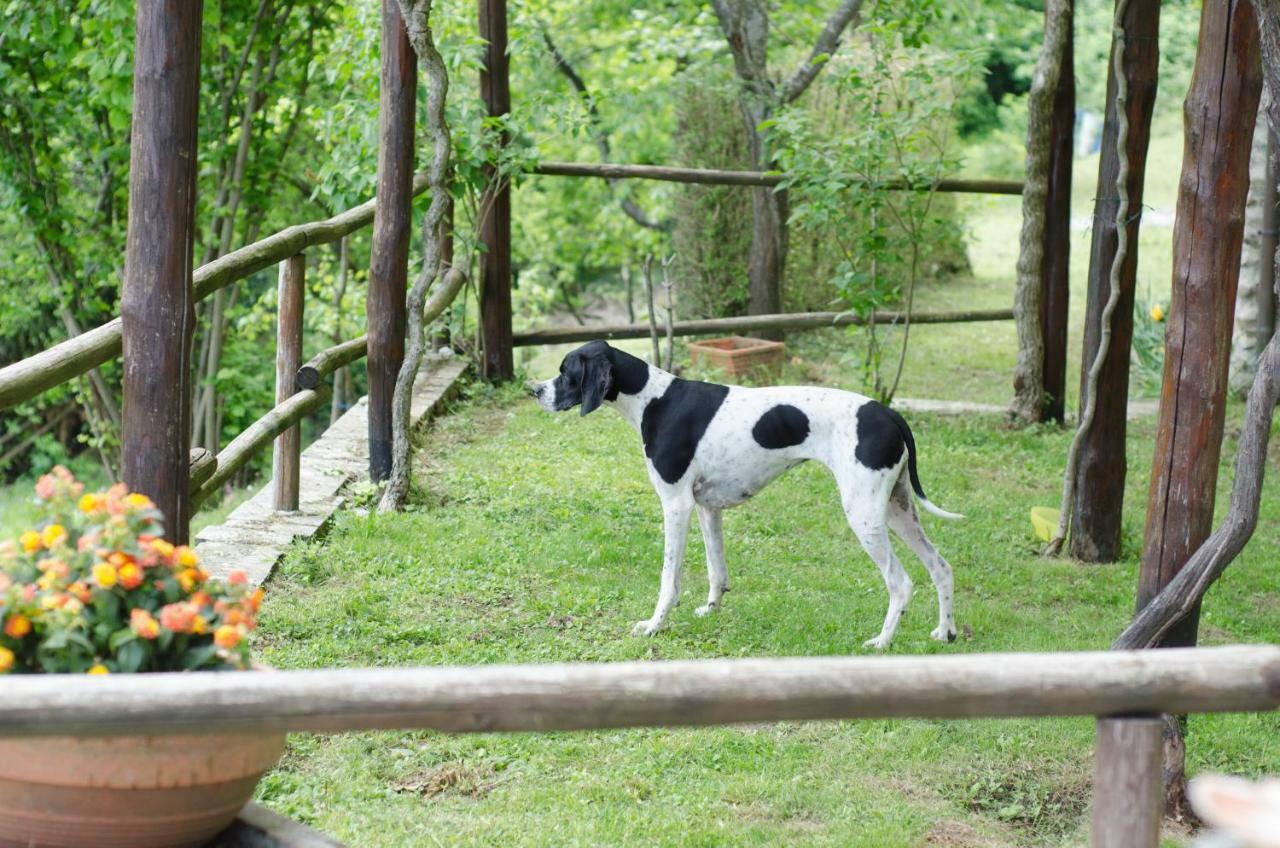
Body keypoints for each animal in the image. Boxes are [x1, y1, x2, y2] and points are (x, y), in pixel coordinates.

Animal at [529, 343, 962, 648]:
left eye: (566, 372)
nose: (533, 390)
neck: (655, 399)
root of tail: (889, 413)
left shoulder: (676, 506)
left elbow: (669, 578)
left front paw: (654, 624)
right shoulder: (706, 507)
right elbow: (716, 570)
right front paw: (711, 609)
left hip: (864, 516)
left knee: (900, 582)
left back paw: (882, 642)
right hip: (897, 510)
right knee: (941, 567)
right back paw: (945, 632)